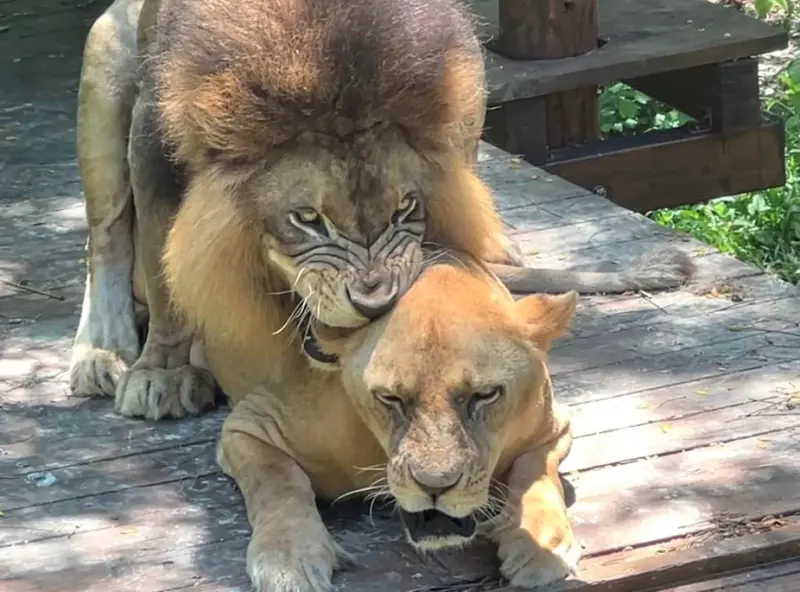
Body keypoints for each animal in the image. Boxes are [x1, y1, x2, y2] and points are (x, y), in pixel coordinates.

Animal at [69, 0, 692, 418]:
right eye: (307, 219)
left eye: (404, 209)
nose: (374, 306)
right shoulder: (154, 134)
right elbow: (164, 273)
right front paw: (162, 373)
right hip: (105, 57)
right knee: (106, 241)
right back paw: (102, 352)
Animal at [217, 258, 580, 592]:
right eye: (389, 397)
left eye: (485, 394)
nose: (435, 486)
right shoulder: (251, 423)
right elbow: (278, 481)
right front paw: (288, 561)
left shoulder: (553, 428)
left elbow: (536, 473)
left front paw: (541, 545)